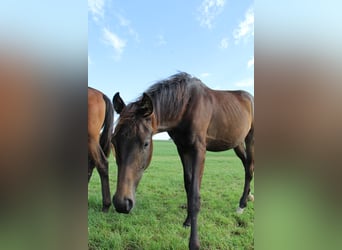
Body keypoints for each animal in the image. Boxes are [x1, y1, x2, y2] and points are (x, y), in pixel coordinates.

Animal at [111, 72, 254, 248]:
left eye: (145, 143)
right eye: (113, 141)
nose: (121, 203)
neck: (186, 106)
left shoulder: (199, 150)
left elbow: (194, 194)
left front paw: (194, 243)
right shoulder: (182, 149)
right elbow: (188, 184)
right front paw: (187, 222)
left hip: (250, 138)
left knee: (249, 168)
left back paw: (242, 204)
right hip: (237, 143)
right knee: (247, 165)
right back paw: (247, 198)